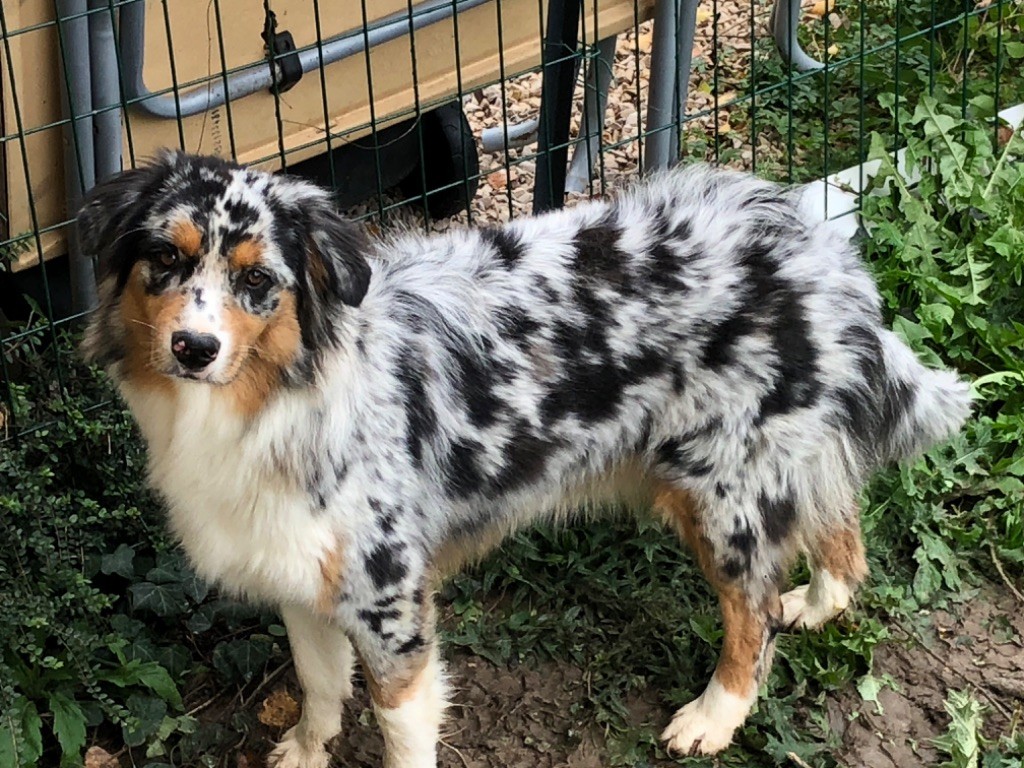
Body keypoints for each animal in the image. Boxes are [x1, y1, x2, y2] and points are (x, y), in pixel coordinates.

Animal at [79, 150, 971, 768]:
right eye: (166, 259)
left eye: (258, 279)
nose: (193, 348)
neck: (268, 404)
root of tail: (814, 245)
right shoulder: (301, 577)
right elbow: (320, 686)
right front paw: (304, 751)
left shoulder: (392, 605)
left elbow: (400, 729)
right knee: (838, 524)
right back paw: (819, 603)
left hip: (725, 494)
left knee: (751, 614)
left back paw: (715, 715)